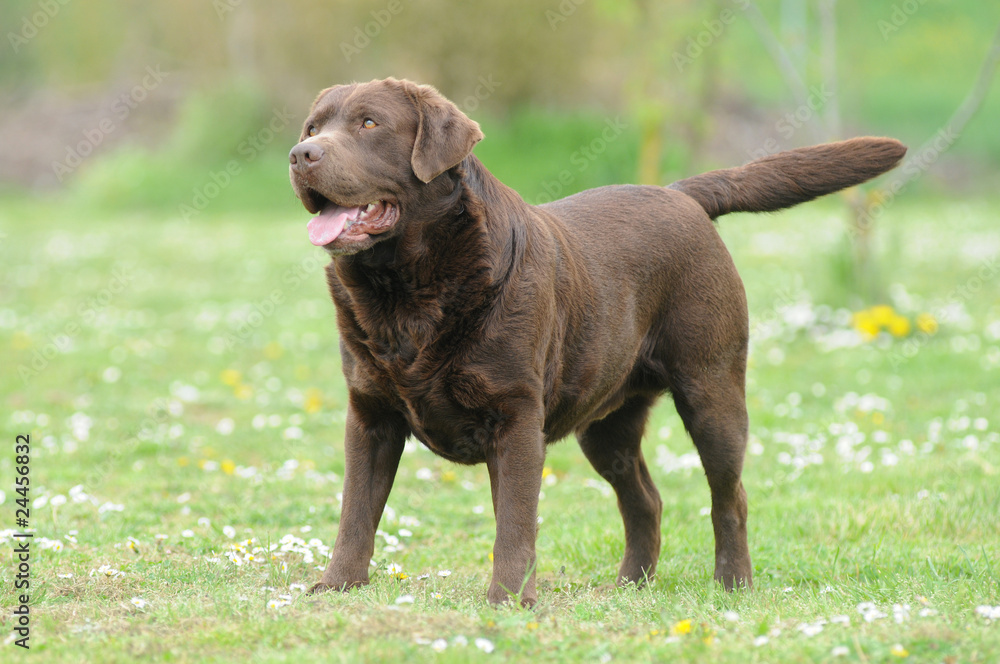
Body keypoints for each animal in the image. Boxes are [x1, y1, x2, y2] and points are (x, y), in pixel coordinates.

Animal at [290, 78, 908, 608]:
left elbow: (514, 521)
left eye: (370, 123)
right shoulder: (370, 415)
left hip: (712, 389)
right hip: (606, 424)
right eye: (312, 126)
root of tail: (681, 194)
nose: (301, 156)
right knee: (644, 499)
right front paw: (337, 586)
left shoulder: (515, 416)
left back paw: (733, 584)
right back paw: (630, 585)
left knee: (729, 495)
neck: (405, 295)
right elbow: (355, 512)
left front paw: (507, 599)